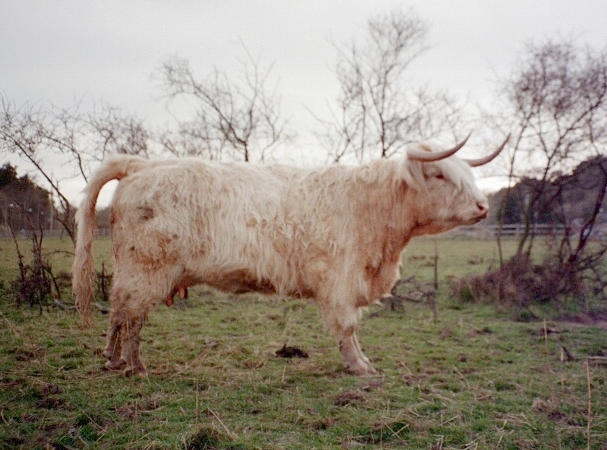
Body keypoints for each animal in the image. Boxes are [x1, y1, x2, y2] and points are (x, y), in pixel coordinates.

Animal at [71, 134, 508, 376]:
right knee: (132, 316)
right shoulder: (339, 281)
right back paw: (136, 366)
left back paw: (113, 360)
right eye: (439, 174)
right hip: (147, 269)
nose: (483, 206)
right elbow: (348, 328)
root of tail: (141, 165)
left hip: (133, 270)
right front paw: (360, 367)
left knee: (118, 310)